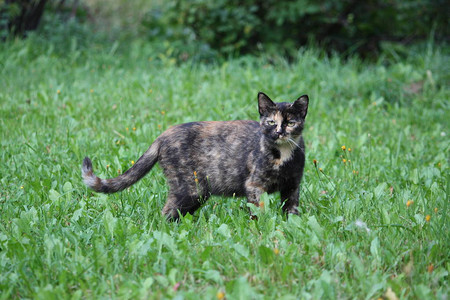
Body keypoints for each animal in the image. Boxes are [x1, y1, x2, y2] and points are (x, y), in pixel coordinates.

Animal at [81, 92, 310, 220]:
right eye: (271, 122)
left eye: (290, 122)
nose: (279, 132)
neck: (283, 154)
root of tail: (164, 134)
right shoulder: (255, 186)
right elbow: (258, 213)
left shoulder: (292, 186)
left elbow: (291, 211)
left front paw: (291, 227)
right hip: (191, 189)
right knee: (166, 213)